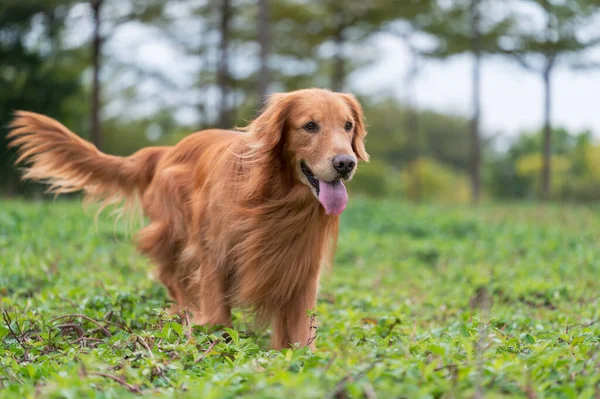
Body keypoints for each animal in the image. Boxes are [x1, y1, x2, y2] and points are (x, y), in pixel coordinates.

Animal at [8, 88, 366, 350]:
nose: (346, 164)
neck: (273, 199)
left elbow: (300, 336)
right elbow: (218, 317)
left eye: (347, 126)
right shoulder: (214, 257)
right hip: (174, 235)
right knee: (173, 280)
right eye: (310, 126)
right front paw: (214, 343)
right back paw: (184, 317)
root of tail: (164, 151)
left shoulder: (301, 271)